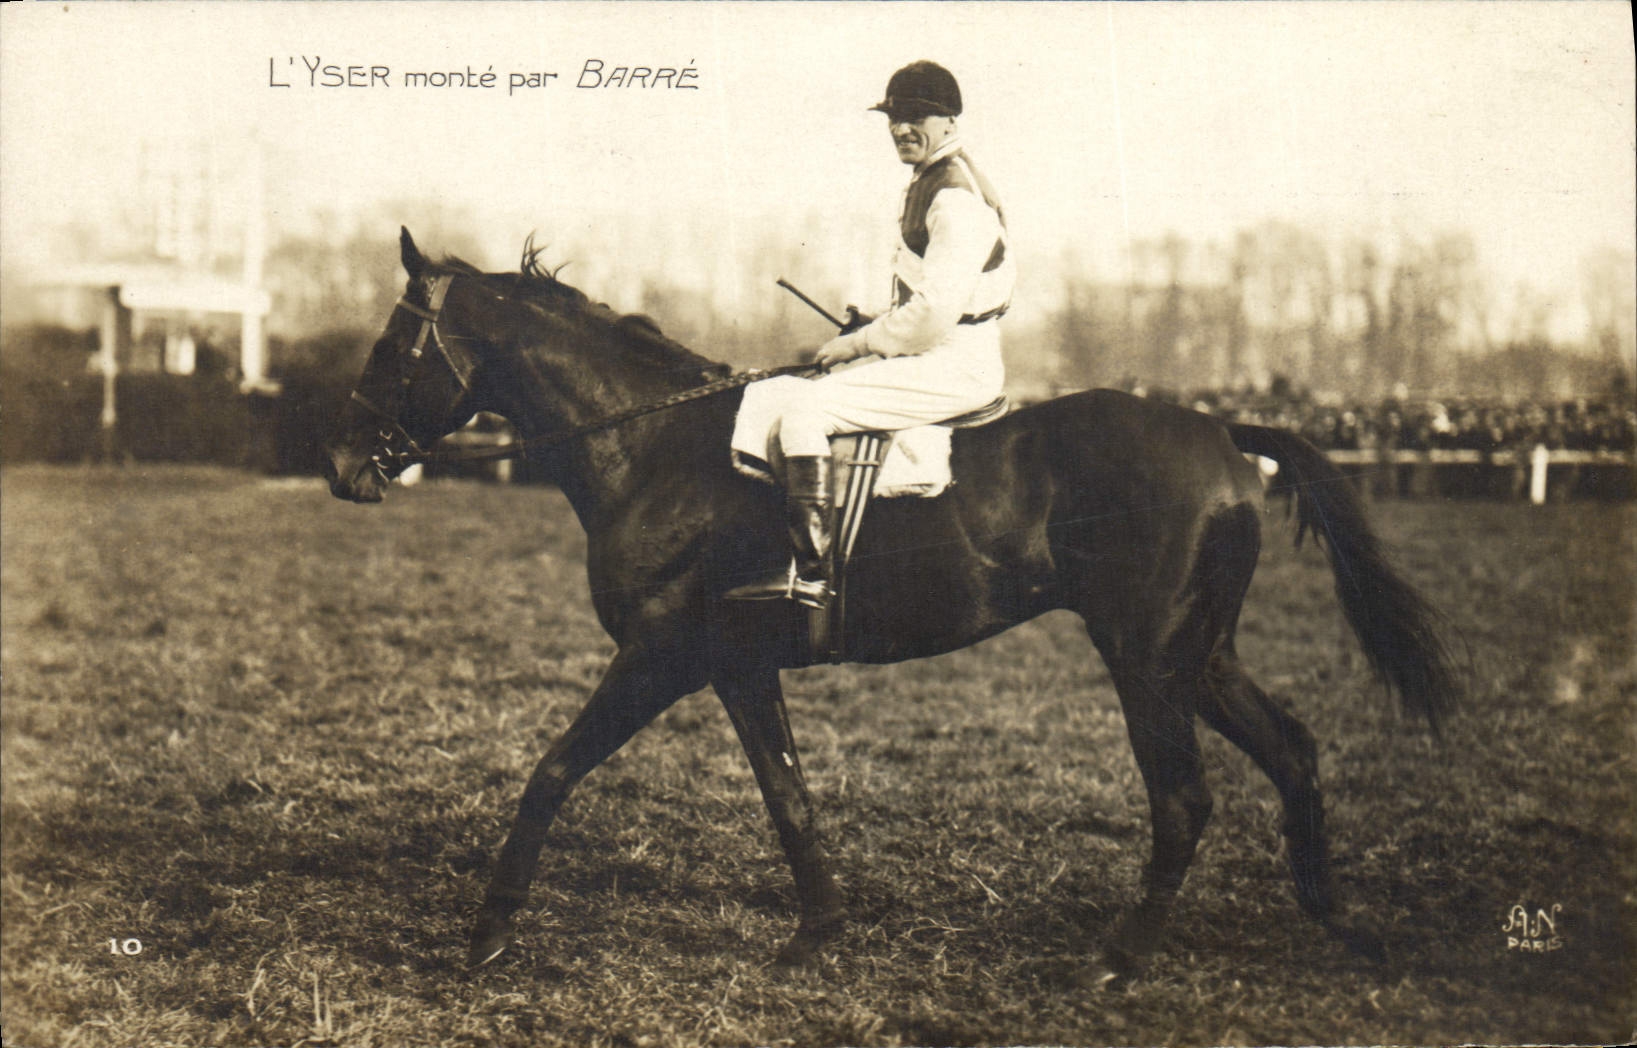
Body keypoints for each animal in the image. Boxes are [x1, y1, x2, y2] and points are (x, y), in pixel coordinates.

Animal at [323, 228, 1459, 982]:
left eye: (390, 346)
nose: (339, 464)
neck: (654, 447)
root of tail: (1223, 432)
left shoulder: (658, 658)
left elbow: (552, 772)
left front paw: (485, 935)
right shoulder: (737, 667)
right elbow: (787, 795)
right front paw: (818, 931)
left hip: (1144, 658)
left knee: (1183, 797)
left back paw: (1122, 955)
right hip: (1198, 655)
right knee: (1292, 751)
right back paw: (1337, 924)